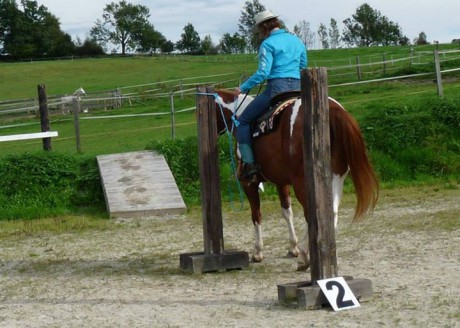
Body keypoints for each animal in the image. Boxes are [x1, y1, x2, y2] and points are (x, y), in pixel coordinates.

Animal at [212, 88, 378, 270]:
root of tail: (332, 109)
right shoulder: (281, 181)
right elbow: (287, 212)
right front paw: (293, 247)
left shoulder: (249, 183)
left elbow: (256, 215)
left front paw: (258, 252)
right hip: (336, 179)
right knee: (331, 213)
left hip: (302, 183)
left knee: (312, 214)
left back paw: (306, 255)